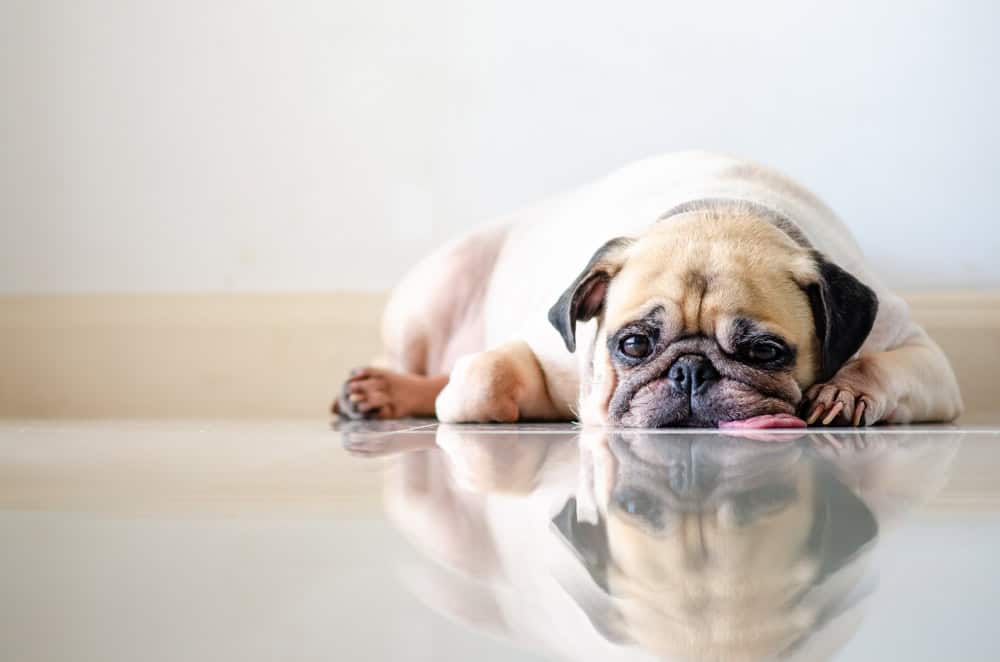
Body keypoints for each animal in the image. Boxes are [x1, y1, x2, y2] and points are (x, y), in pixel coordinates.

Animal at [334, 150, 960, 428]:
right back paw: (383, 390)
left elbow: (878, 366)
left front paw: (844, 391)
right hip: (433, 292)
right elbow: (481, 382)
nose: (689, 371)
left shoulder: (922, 356)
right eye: (633, 345)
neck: (720, 210)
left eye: (765, 352)